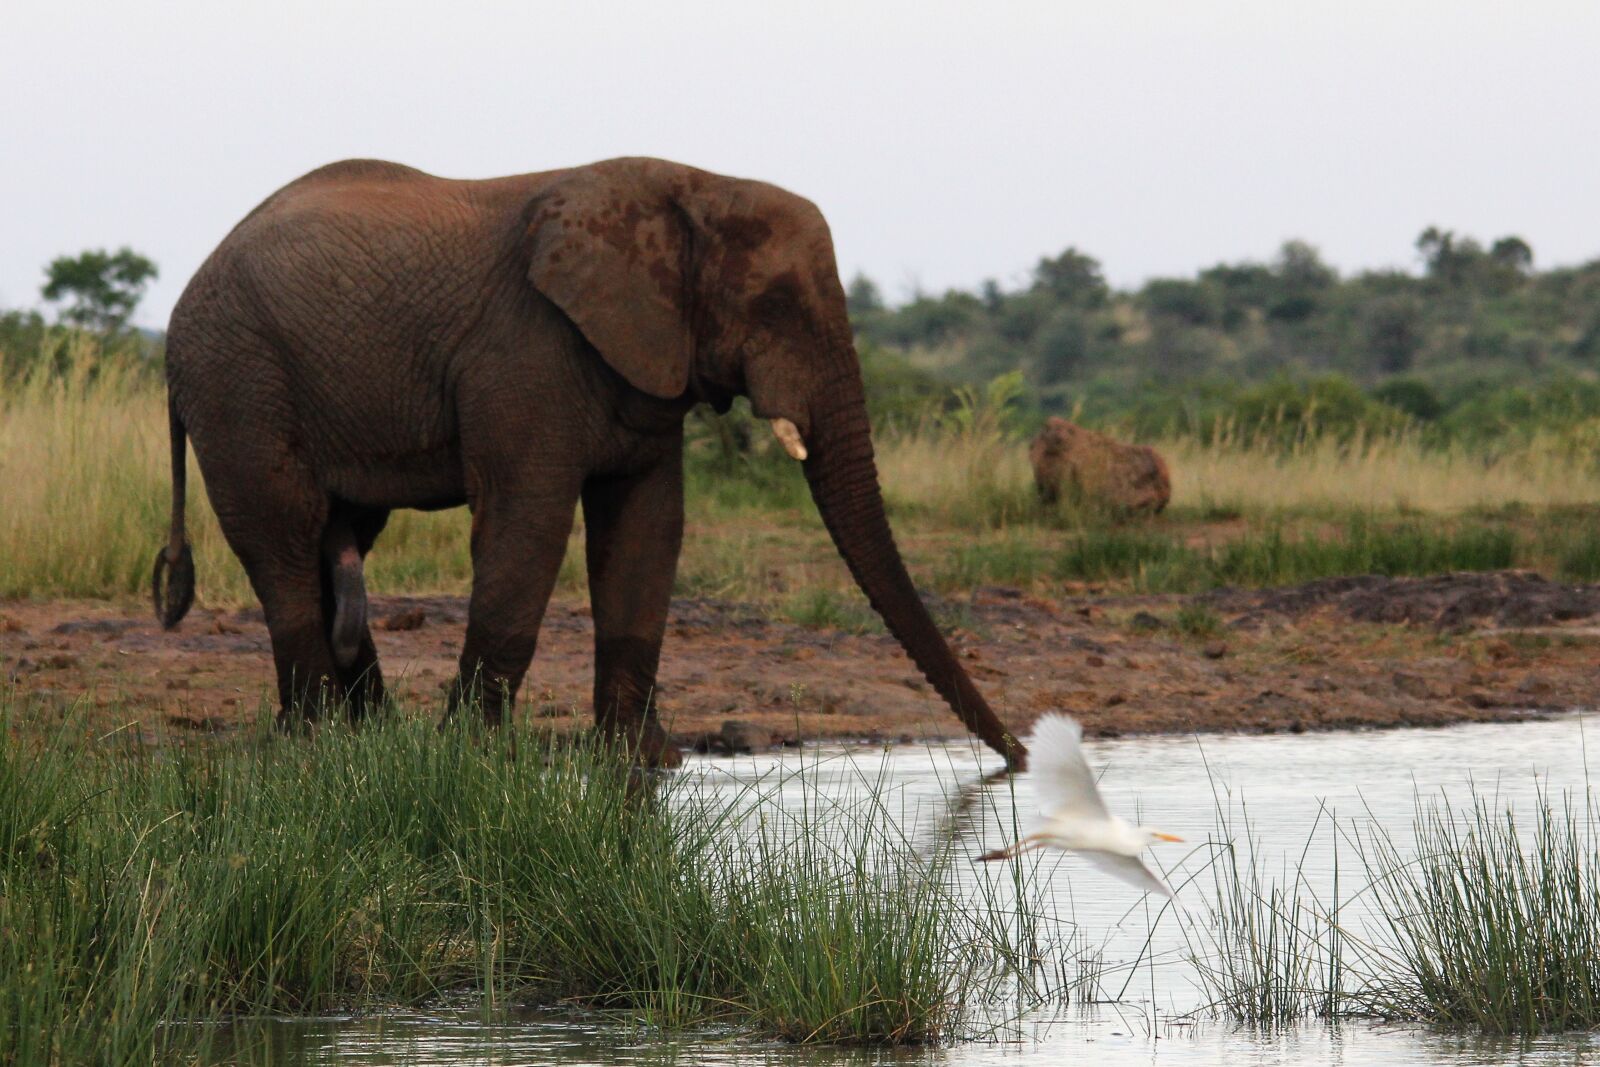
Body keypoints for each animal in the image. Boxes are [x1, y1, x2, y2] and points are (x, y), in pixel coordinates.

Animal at [150, 156, 1027, 769]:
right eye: (775, 305)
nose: (1018, 758)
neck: (692, 186)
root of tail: (178, 310)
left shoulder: (646, 359)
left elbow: (646, 528)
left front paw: (647, 764)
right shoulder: (526, 351)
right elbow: (529, 521)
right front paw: (474, 756)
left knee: (343, 536)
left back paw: (374, 740)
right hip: (240, 381)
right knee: (287, 539)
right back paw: (319, 741)